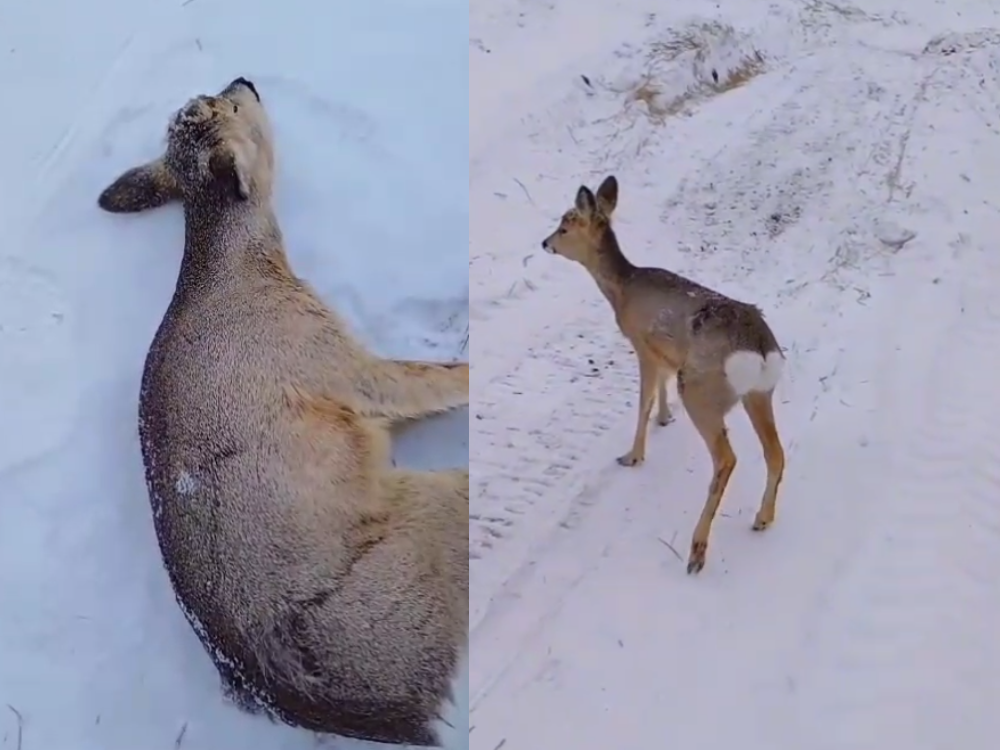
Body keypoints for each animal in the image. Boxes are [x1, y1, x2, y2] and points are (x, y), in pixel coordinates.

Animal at [96, 76, 468, 748]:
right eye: (232, 107)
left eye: (217, 98)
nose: (243, 79)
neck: (241, 270)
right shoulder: (338, 365)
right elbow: (432, 380)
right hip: (429, 519)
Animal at [544, 178, 784, 576]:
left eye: (565, 226)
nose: (545, 243)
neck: (622, 289)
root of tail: (762, 349)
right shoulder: (664, 353)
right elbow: (660, 386)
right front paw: (665, 419)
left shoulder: (640, 342)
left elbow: (643, 400)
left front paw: (633, 455)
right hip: (758, 393)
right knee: (775, 451)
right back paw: (762, 518)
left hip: (702, 389)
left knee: (726, 459)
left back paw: (696, 551)